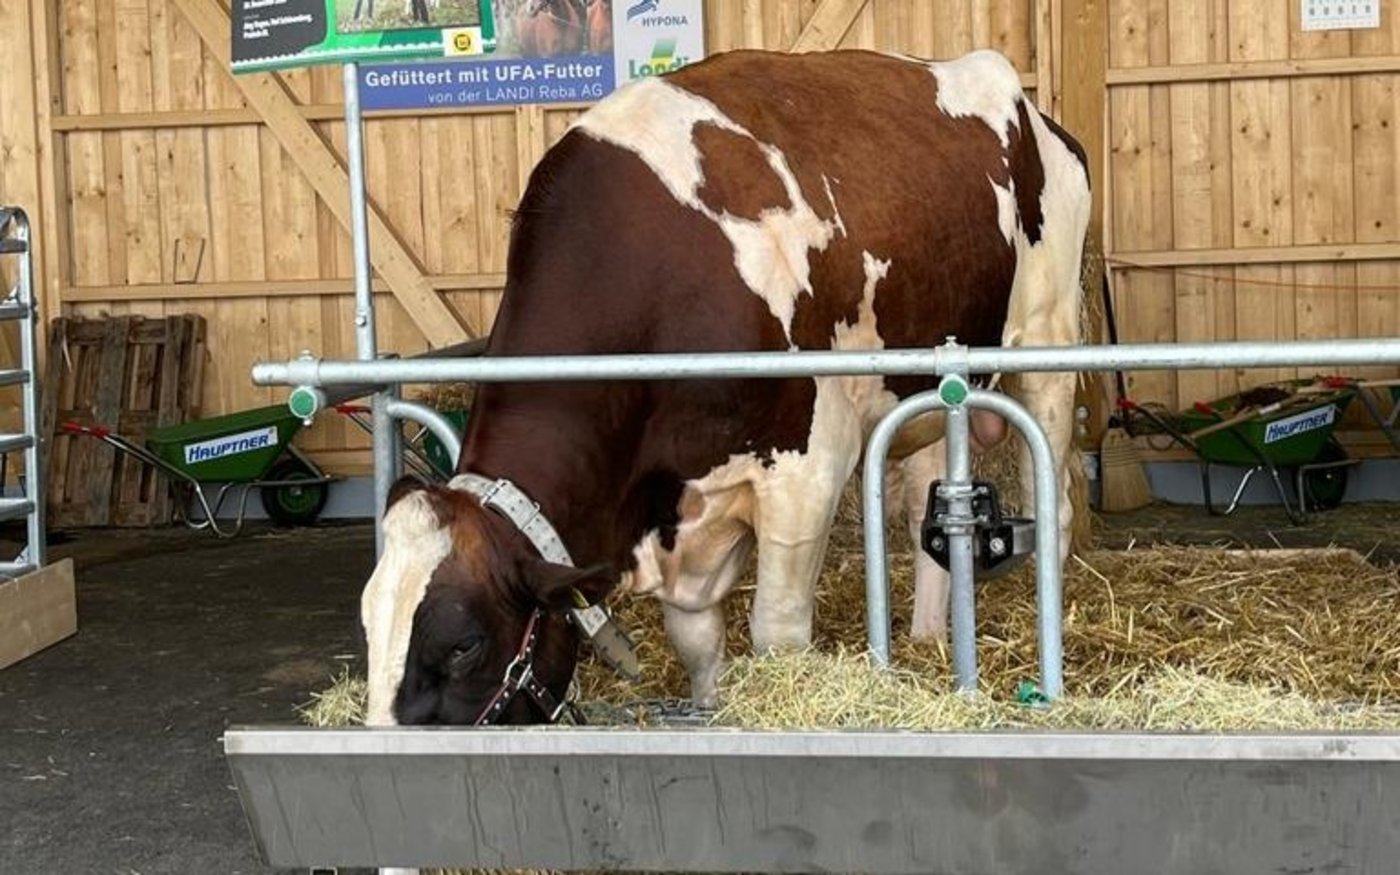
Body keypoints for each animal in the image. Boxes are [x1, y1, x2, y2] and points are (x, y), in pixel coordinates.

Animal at [361, 48, 1091, 728]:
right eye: (368, 627)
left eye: (463, 645)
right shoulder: (678, 507)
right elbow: (695, 639)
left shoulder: (808, 469)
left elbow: (777, 634)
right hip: (926, 387)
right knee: (925, 513)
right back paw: (926, 639)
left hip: (1047, 343)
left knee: (1051, 501)